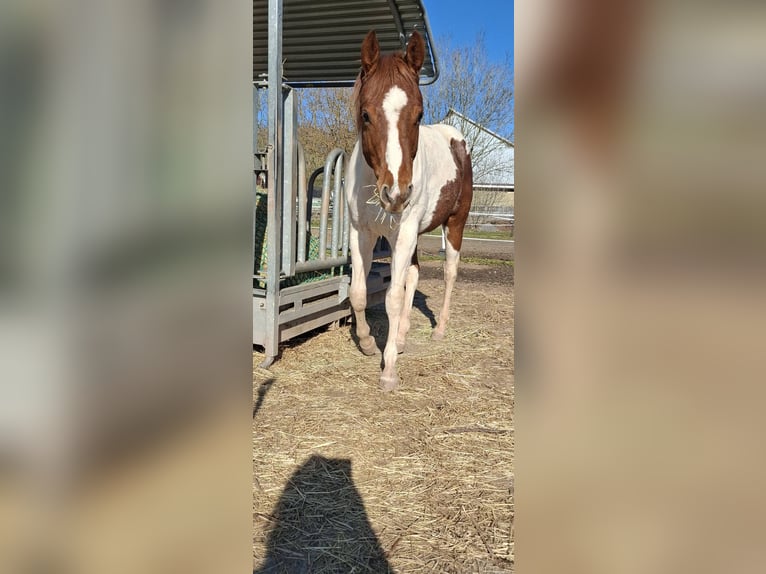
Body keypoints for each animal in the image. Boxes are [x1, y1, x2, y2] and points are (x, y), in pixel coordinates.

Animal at [345, 30, 473, 391]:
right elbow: (359, 292)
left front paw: (388, 371)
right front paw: (368, 343)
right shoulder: (361, 232)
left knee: (449, 273)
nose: (397, 194)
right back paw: (401, 337)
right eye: (365, 115)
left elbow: (393, 298)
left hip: (454, 224)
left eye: (418, 115)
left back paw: (439, 330)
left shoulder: (402, 233)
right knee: (414, 275)